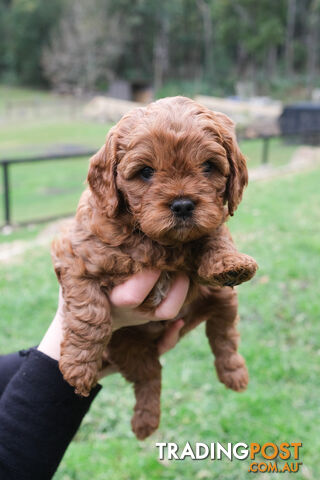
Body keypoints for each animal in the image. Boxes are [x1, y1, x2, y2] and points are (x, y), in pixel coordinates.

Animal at [52, 95, 258, 440]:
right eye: (145, 172)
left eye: (208, 166)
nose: (183, 205)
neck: (152, 239)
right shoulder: (75, 256)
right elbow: (89, 313)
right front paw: (78, 369)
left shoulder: (210, 231)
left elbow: (215, 234)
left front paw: (230, 263)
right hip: (128, 345)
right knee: (150, 377)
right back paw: (145, 422)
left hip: (222, 300)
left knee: (224, 336)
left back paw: (235, 374)